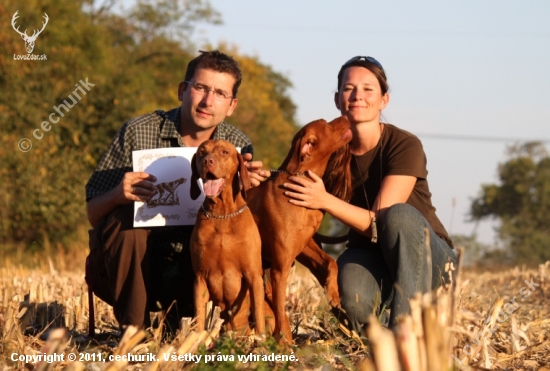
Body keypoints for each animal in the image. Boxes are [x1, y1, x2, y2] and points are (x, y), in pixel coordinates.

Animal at [190, 140, 268, 338]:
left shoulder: (254, 275)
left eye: (224, 152)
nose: (207, 161)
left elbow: (259, 315)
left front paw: (261, 341)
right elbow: (200, 316)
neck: (222, 215)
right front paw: (195, 340)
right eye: (201, 152)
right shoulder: (200, 278)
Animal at [249, 115, 354, 342]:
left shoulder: (305, 247)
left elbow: (331, 262)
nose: (346, 116)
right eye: (327, 124)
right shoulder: (280, 268)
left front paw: (333, 293)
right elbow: (281, 309)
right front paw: (284, 342)